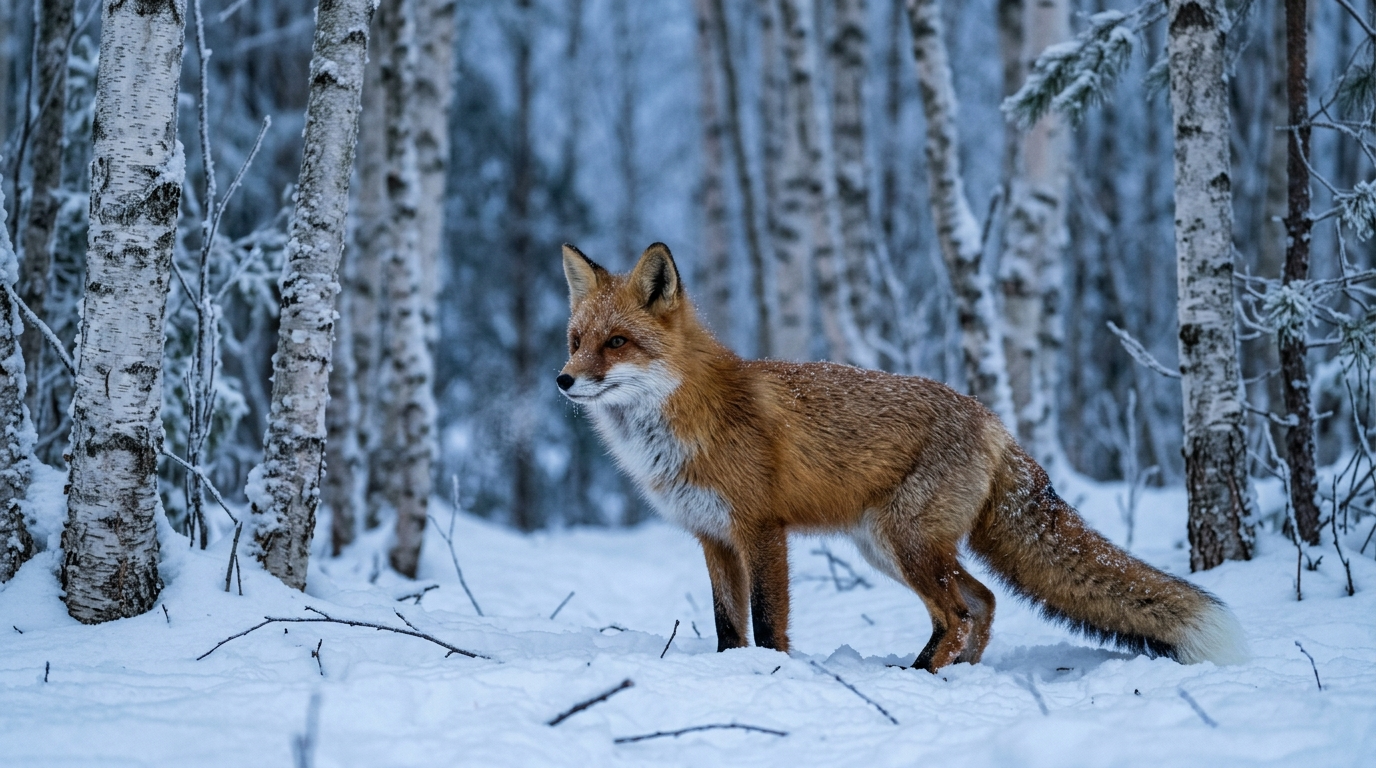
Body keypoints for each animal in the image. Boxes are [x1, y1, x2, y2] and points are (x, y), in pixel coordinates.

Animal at [556, 241, 1247, 671]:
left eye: (616, 343)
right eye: (576, 340)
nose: (562, 380)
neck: (690, 416)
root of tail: (994, 421)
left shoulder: (760, 531)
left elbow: (768, 623)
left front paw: (773, 676)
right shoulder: (713, 537)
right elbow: (730, 627)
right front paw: (734, 674)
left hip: (904, 541)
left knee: (957, 611)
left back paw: (919, 675)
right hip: (889, 547)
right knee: (982, 602)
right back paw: (959, 675)